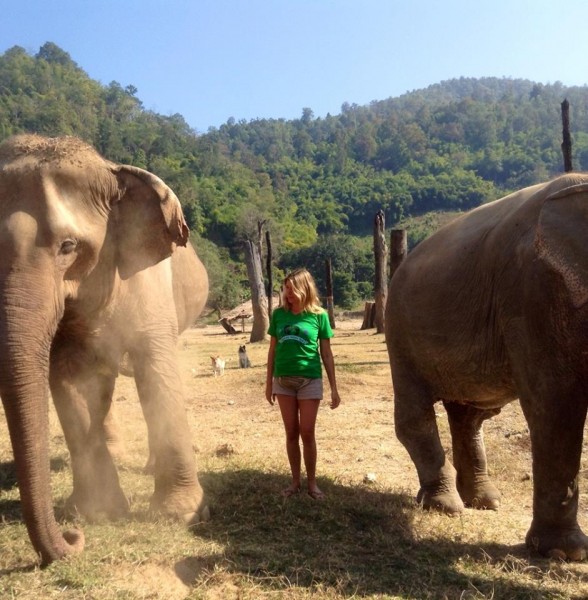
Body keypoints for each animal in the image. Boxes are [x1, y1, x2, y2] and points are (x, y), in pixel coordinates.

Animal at [0, 134, 210, 564]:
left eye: (68, 246)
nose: (72, 536)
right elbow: (69, 377)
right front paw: (98, 513)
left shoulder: (145, 270)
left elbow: (155, 363)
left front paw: (181, 516)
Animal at [386, 173, 588, 564]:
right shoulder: (534, 293)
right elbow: (555, 404)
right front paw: (565, 553)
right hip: (399, 330)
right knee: (415, 414)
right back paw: (446, 506)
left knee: (472, 416)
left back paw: (486, 501)